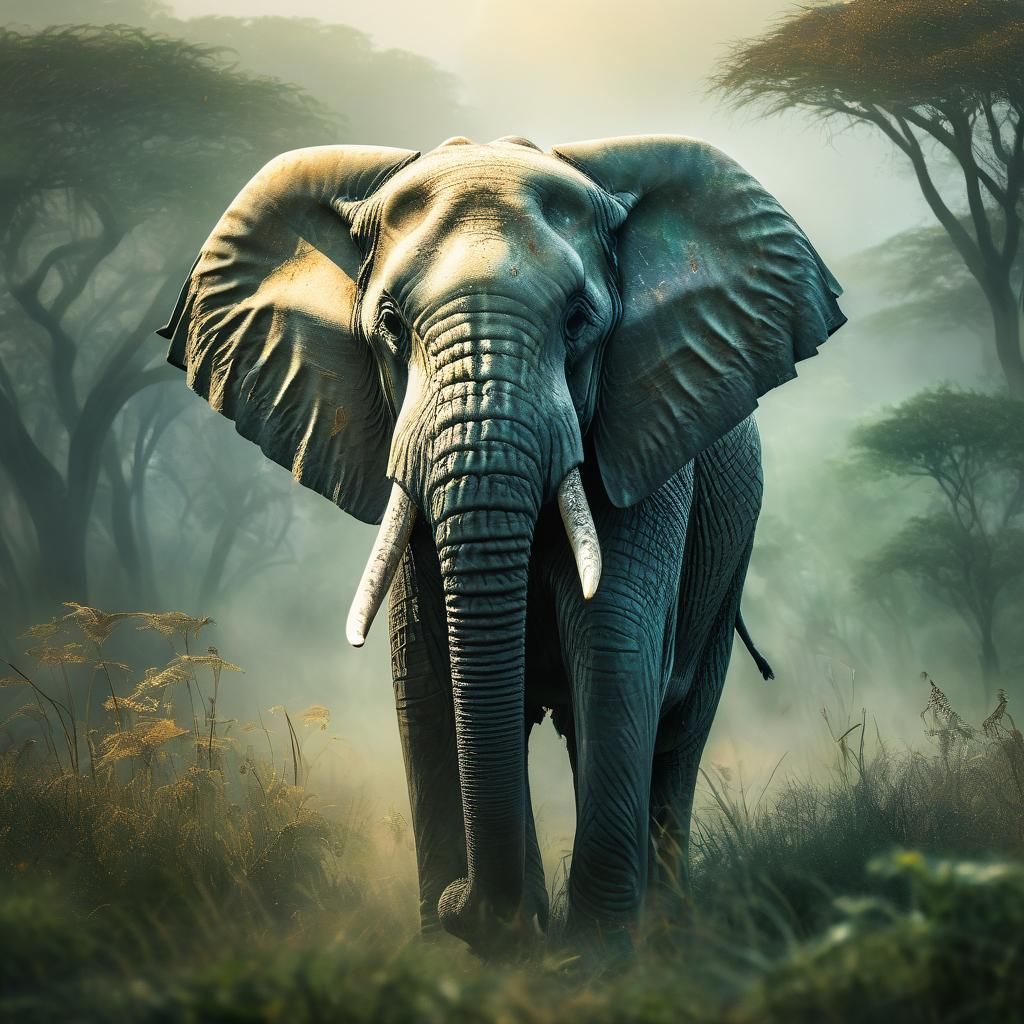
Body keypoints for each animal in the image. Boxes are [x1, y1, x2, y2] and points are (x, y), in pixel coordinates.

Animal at [158, 134, 845, 957]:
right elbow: (431, 678)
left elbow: (613, 655)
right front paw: (481, 949)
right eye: (390, 324)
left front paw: (596, 953)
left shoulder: (643, 445)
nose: (466, 905)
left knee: (676, 728)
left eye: (580, 321)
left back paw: (664, 926)